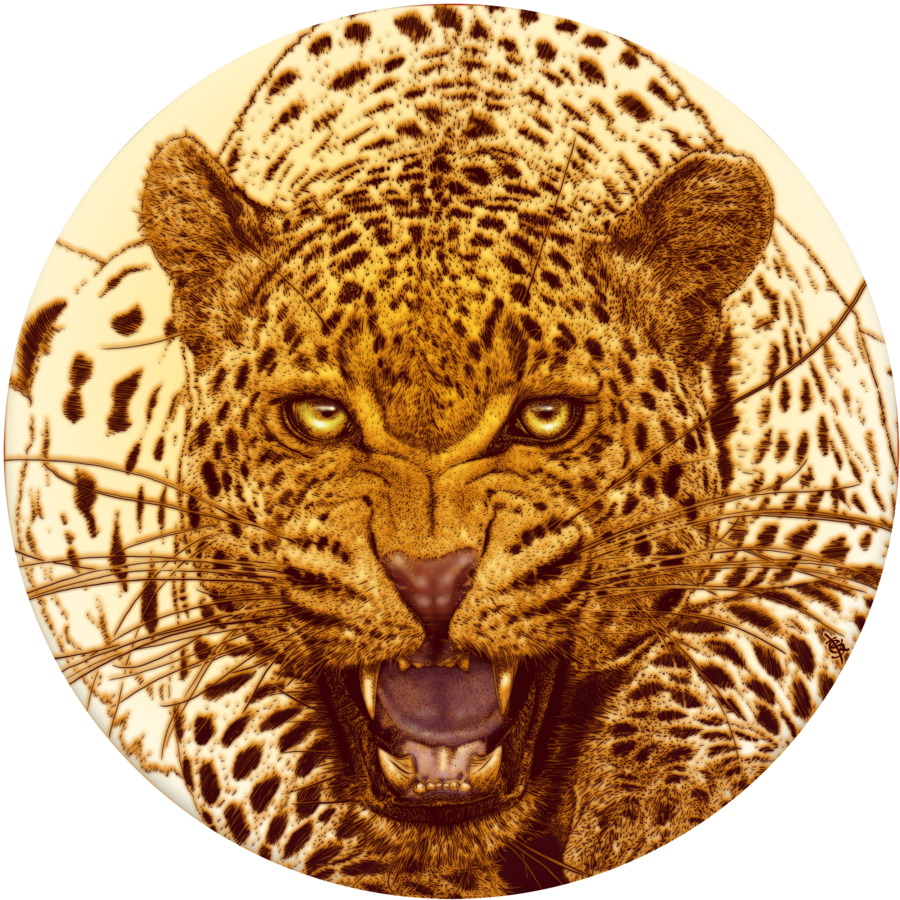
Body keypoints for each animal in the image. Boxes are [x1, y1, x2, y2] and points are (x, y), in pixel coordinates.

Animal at [6, 6, 895, 896]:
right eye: (319, 416)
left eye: (546, 417)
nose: (430, 581)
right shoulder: (202, 633)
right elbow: (279, 742)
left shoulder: (834, 543)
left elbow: (718, 648)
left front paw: (673, 794)